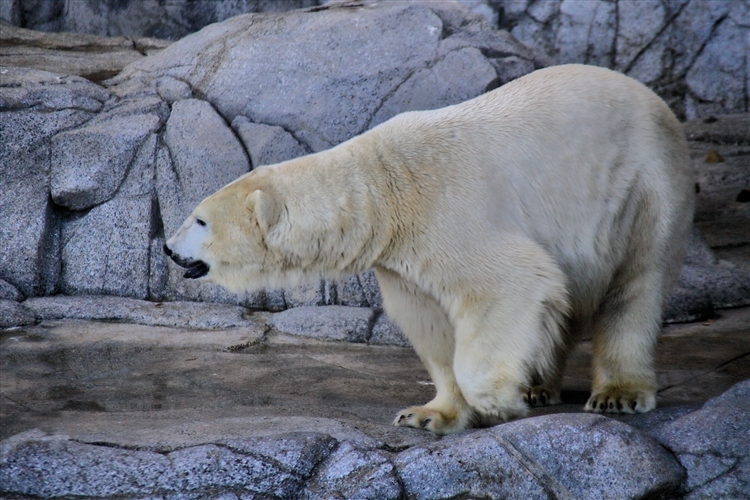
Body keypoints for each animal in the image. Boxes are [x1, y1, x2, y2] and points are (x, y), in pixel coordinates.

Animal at [167, 65, 696, 434]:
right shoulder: (403, 258)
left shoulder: (449, 212)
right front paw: (429, 414)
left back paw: (617, 393)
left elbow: (512, 281)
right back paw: (538, 385)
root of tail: (654, 100)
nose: (169, 249)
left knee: (636, 285)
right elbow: (431, 325)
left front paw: (496, 401)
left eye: (200, 219)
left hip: (643, 187)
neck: (383, 190)